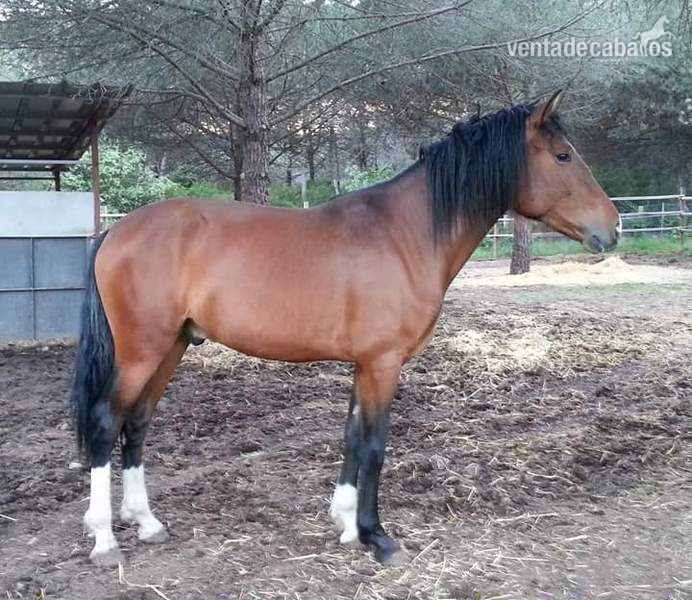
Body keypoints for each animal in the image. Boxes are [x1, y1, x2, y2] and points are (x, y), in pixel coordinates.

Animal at [72, 90, 620, 566]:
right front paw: (378, 536)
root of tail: (117, 230)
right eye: (564, 155)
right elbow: (374, 446)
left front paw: (347, 524)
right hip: (141, 351)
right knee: (105, 422)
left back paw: (146, 522)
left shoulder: (364, 364)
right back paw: (104, 539)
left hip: (172, 347)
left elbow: (352, 438)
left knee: (137, 423)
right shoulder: (383, 363)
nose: (612, 227)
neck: (405, 234)